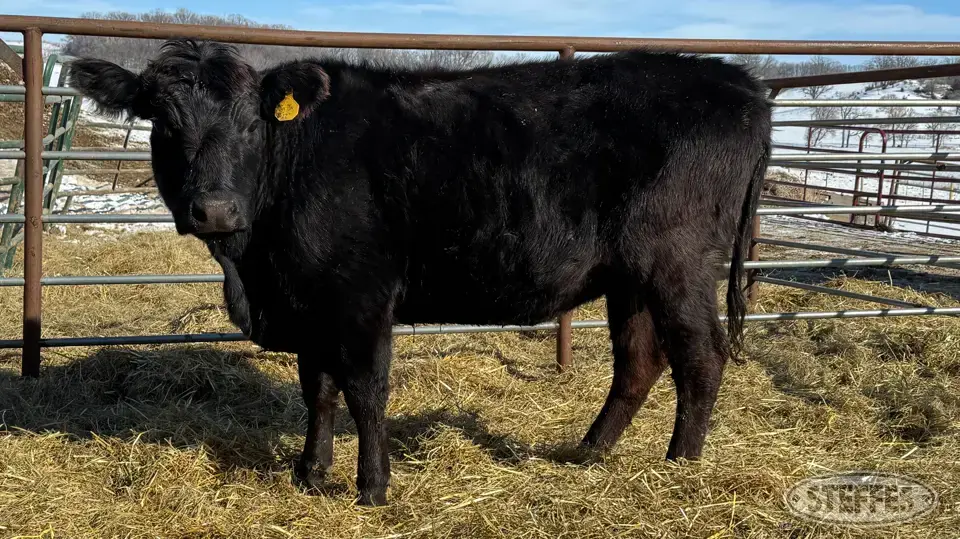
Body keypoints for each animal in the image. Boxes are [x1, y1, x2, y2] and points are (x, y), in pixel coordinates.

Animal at [67, 39, 772, 506]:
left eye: (252, 121)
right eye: (162, 121)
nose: (214, 208)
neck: (256, 269)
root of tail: (737, 83)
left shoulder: (361, 294)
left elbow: (365, 390)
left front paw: (371, 488)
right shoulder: (310, 299)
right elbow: (317, 389)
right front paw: (309, 473)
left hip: (679, 262)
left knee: (701, 357)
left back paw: (682, 467)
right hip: (629, 277)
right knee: (639, 362)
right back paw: (588, 453)